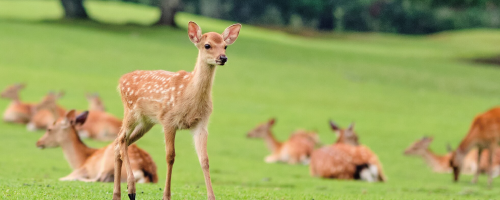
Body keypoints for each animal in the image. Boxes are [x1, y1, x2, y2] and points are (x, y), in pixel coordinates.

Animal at [111, 21, 242, 200]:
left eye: (225, 46)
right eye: (207, 45)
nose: (223, 58)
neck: (188, 94)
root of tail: (121, 80)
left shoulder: (201, 124)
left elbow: (205, 160)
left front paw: (211, 196)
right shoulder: (168, 120)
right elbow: (170, 157)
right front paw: (166, 195)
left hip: (146, 122)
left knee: (119, 144)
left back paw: (117, 194)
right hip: (131, 111)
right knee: (122, 139)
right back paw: (131, 190)